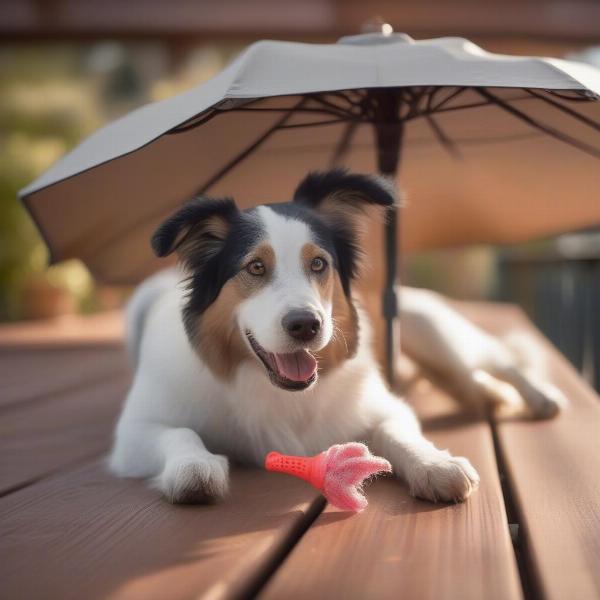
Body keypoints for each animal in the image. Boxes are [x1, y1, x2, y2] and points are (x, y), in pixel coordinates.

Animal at [109, 171, 568, 504]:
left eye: (318, 263)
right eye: (255, 267)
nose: (305, 325)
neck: (273, 388)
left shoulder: (384, 404)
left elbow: (398, 432)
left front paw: (435, 465)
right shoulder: (134, 430)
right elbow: (179, 434)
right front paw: (195, 468)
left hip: (432, 327)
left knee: (497, 360)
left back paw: (539, 398)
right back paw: (492, 397)